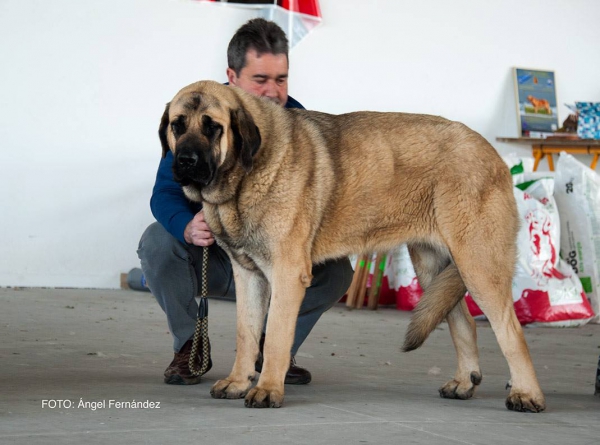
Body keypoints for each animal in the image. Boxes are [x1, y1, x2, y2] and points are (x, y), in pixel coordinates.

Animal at [157, 78, 548, 412]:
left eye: (212, 127)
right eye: (178, 125)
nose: (185, 162)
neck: (242, 178)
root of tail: (490, 150)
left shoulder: (286, 275)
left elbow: (276, 338)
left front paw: (267, 389)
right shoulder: (249, 276)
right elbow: (247, 334)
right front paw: (238, 382)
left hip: (479, 264)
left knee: (511, 332)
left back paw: (527, 394)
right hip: (435, 267)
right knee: (464, 322)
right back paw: (464, 382)